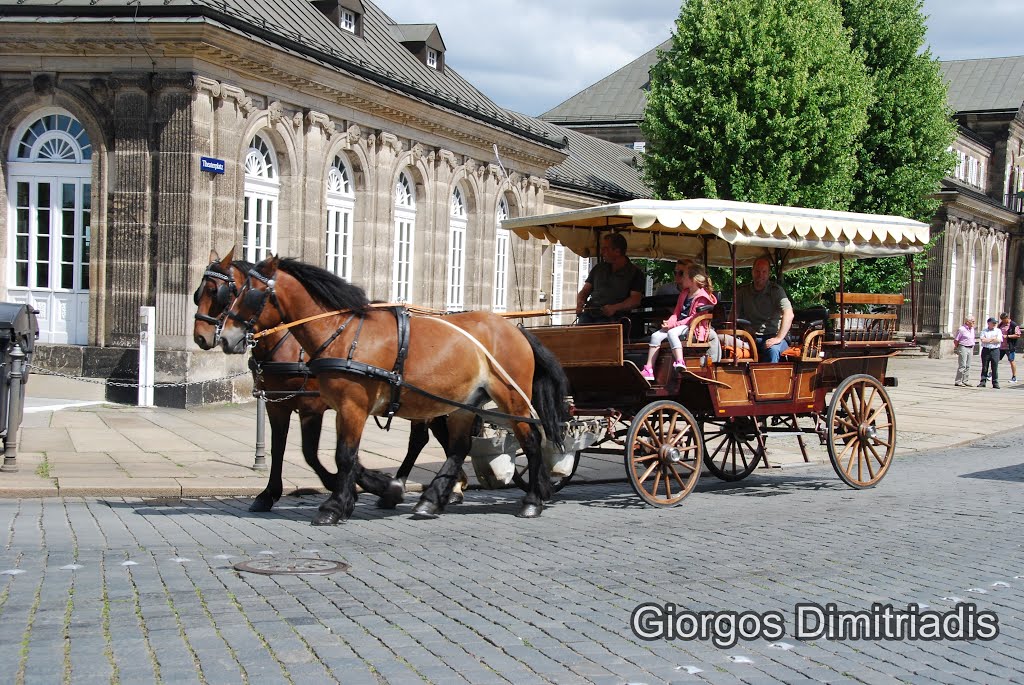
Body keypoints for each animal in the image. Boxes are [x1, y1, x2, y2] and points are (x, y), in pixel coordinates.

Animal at [219, 253, 569, 520]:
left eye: (248, 293)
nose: (225, 337)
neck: (343, 332)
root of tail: (516, 330)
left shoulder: (350, 406)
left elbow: (343, 456)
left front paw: (337, 505)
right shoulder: (329, 407)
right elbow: (336, 455)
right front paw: (366, 492)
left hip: (512, 398)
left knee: (531, 441)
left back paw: (532, 500)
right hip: (462, 403)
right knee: (458, 448)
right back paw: (432, 499)